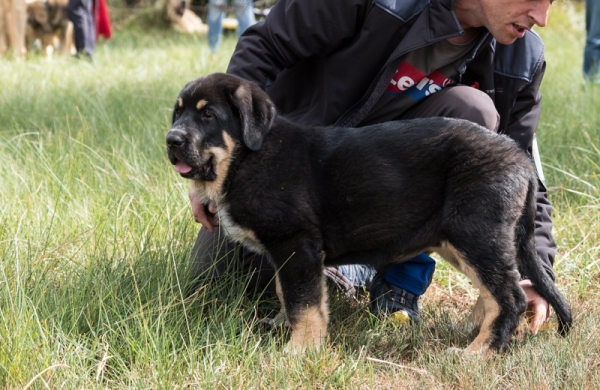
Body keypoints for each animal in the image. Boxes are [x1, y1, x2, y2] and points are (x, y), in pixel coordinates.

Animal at [165, 73, 572, 356]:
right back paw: (476, 334)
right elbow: (289, 292)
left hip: (475, 233)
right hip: (461, 239)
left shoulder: (297, 243)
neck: (247, 158)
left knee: (511, 297)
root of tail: (519, 155)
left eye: (208, 115)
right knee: (497, 290)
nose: (171, 140)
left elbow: (303, 300)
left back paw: (478, 352)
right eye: (179, 112)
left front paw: (299, 349)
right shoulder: (288, 252)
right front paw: (284, 326)